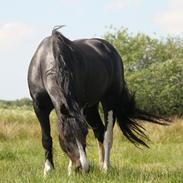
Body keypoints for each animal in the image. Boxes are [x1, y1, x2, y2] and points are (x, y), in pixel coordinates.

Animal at [27, 27, 167, 176]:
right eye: (66, 136)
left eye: (85, 133)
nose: (83, 168)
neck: (46, 60)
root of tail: (111, 50)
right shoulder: (39, 107)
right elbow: (46, 138)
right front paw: (48, 170)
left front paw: (69, 169)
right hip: (90, 108)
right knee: (99, 131)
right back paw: (100, 165)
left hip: (109, 102)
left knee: (107, 135)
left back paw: (106, 167)